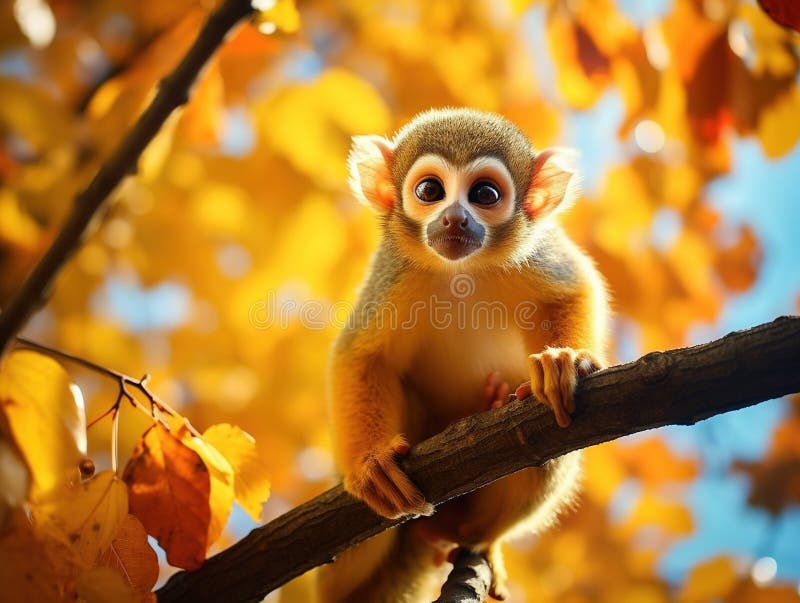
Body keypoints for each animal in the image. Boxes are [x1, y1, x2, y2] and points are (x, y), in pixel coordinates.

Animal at [318, 108, 609, 602]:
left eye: (484, 195)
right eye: (430, 192)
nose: (455, 219)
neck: (462, 270)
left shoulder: (536, 252)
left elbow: (573, 290)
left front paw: (564, 360)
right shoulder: (395, 270)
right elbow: (363, 355)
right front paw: (369, 463)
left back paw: (483, 533)